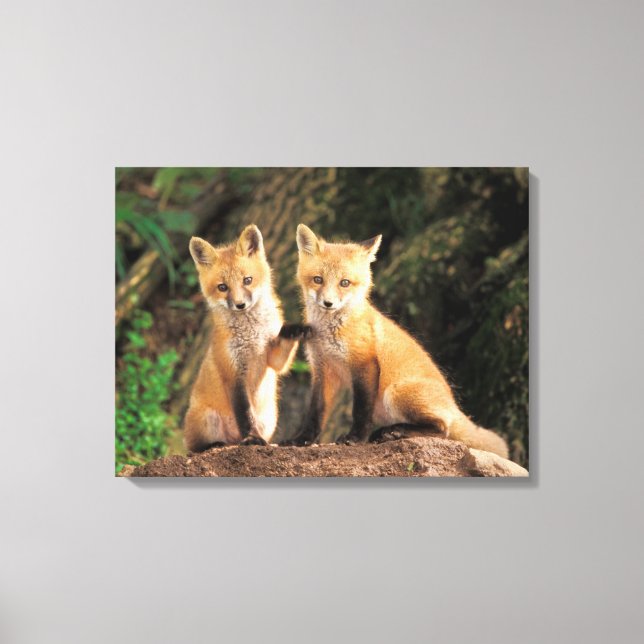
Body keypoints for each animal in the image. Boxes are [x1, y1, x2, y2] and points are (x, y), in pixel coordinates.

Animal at [183, 224, 305, 451]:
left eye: (247, 280)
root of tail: (233, 440)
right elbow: (245, 414)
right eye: (222, 287)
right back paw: (216, 445)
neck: (252, 336)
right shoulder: (234, 373)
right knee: (195, 448)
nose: (240, 305)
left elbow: (281, 356)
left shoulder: (272, 359)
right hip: (207, 420)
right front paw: (251, 438)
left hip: (269, 419)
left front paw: (293, 330)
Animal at [289, 224, 509, 458]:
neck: (329, 332)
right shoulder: (322, 369)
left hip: (394, 392)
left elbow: (360, 410)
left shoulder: (364, 363)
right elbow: (315, 411)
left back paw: (396, 432)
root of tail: (454, 406)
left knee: (443, 429)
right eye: (318, 279)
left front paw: (354, 438)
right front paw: (302, 440)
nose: (328, 303)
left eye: (345, 283)